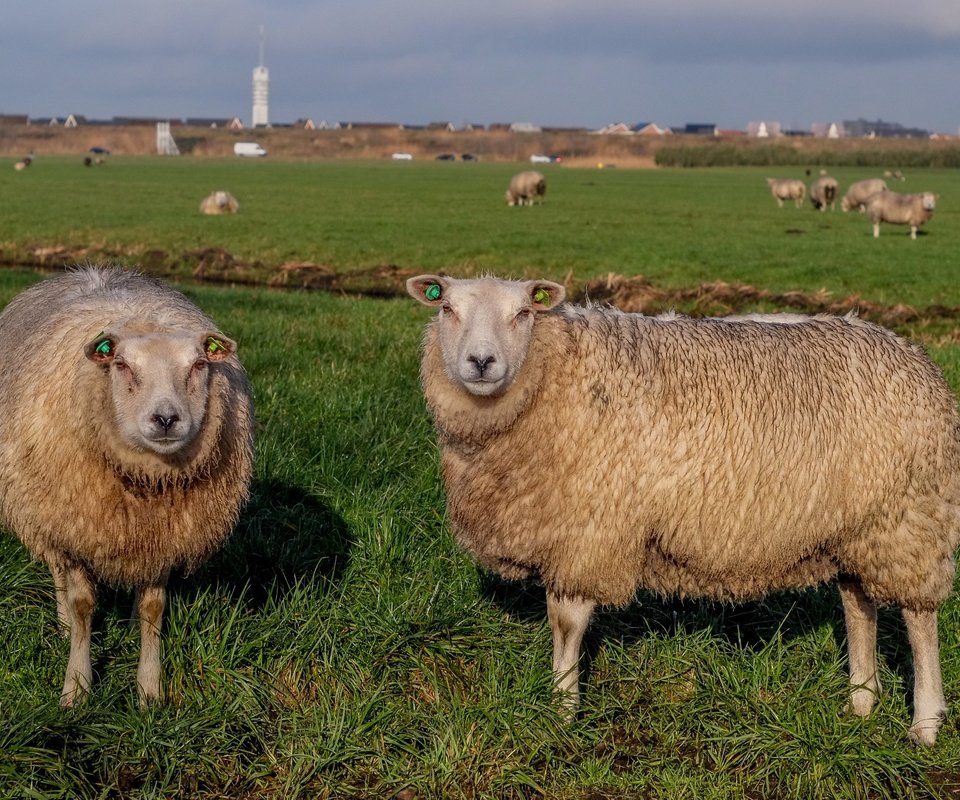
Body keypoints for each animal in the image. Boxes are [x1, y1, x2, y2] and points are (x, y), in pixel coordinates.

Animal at [0, 268, 255, 708]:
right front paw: (76, 687)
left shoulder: (164, 536)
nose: (166, 419)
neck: (146, 482)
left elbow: (154, 608)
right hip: (44, 512)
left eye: (199, 364)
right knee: (57, 573)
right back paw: (63, 626)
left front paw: (149, 689)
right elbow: (83, 605)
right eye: (121, 364)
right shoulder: (75, 527)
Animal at [404, 274, 960, 744]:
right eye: (447, 308)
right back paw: (861, 703)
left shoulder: (589, 529)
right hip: (857, 524)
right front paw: (560, 703)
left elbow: (566, 622)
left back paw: (925, 724)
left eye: (523, 312)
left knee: (919, 618)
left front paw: (561, 709)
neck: (554, 373)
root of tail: (913, 355)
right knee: (858, 603)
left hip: (911, 517)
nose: (481, 362)